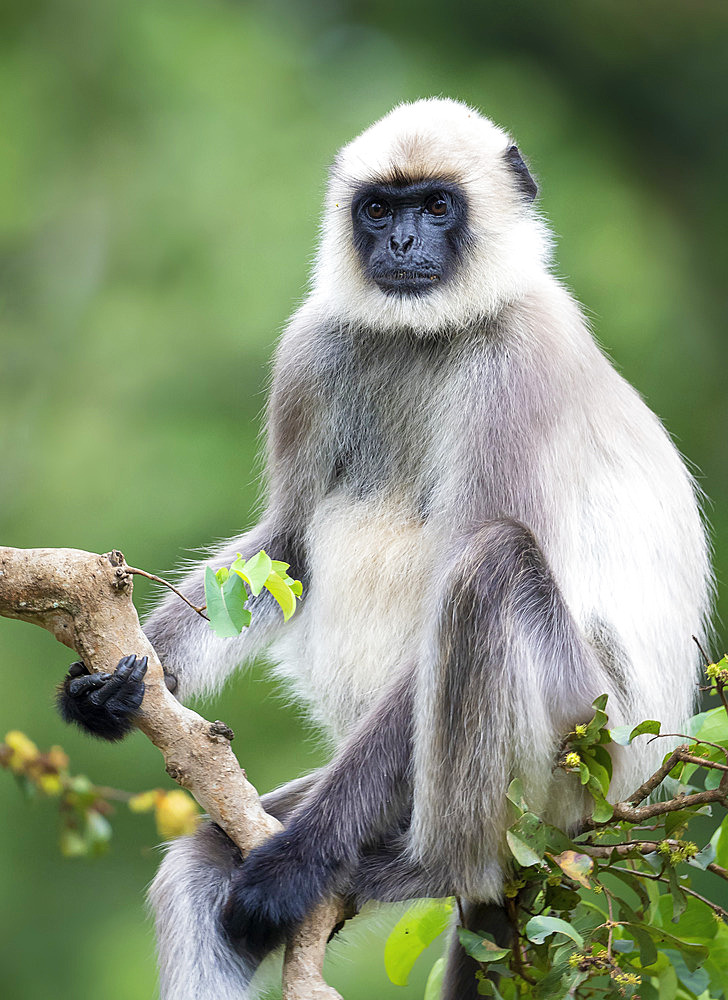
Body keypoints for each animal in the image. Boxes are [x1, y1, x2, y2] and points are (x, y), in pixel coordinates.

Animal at [58, 95, 712, 1000]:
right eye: (379, 208)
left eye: (435, 206)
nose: (401, 244)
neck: (426, 335)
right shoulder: (312, 348)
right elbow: (289, 547)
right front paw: (116, 687)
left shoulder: (519, 362)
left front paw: (293, 866)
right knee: (196, 869)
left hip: (584, 753)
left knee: (488, 567)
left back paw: (436, 869)